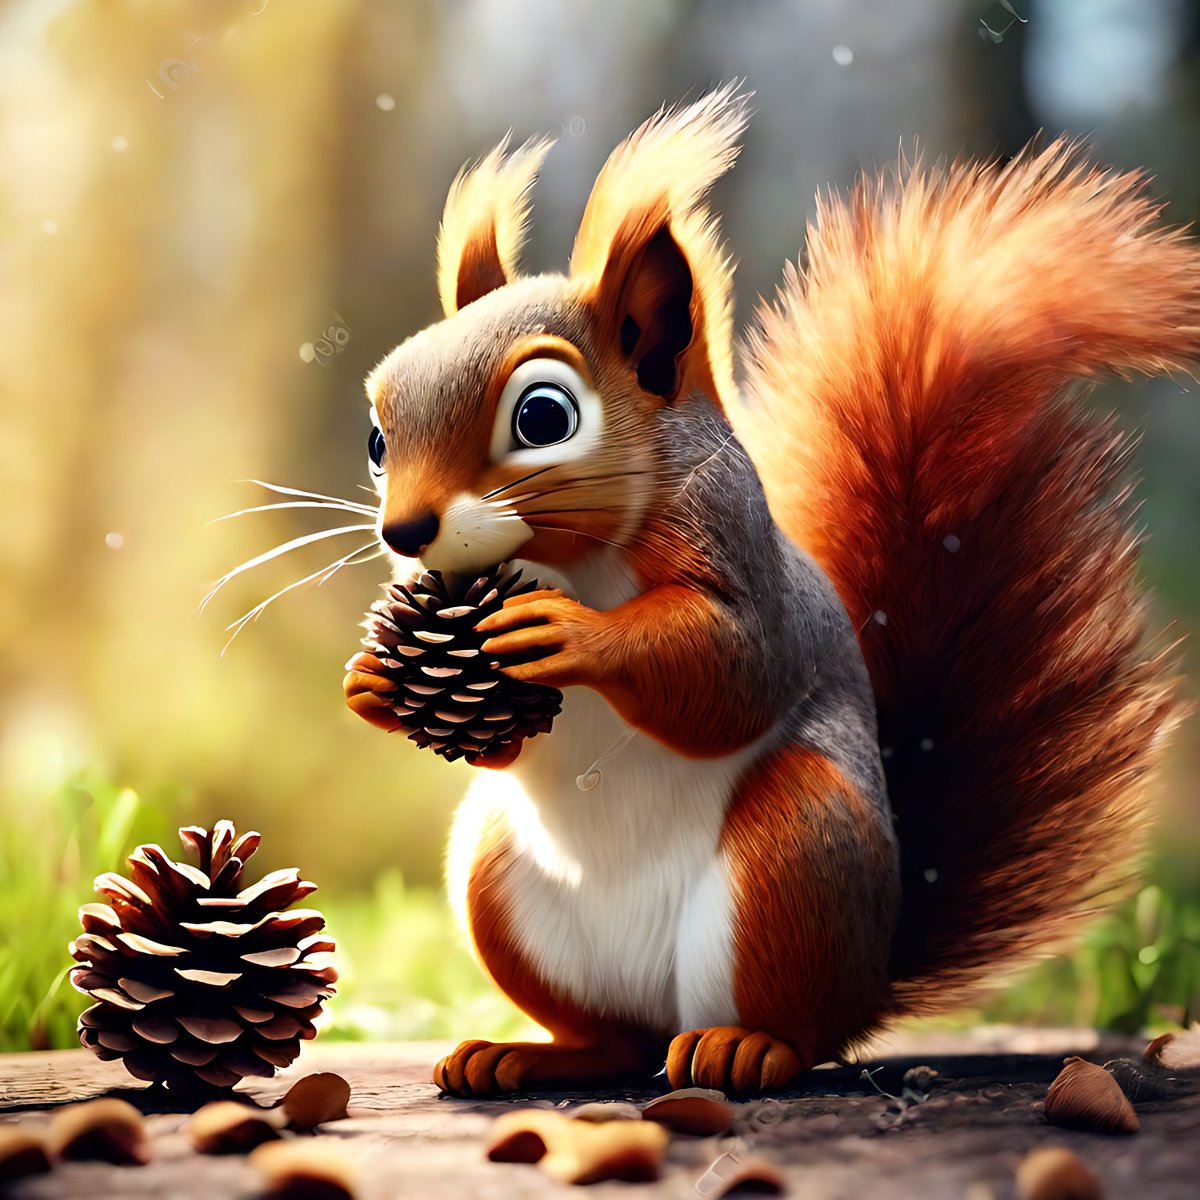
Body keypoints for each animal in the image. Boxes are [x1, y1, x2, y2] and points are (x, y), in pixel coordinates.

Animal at [343, 86, 1197, 1096]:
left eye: (543, 416)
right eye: (378, 436)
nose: (405, 534)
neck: (562, 557)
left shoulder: (737, 551)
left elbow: (730, 672)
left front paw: (569, 633)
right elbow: (502, 746)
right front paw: (372, 683)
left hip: (798, 855)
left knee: (795, 1029)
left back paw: (746, 1048)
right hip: (494, 876)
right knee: (615, 1040)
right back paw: (525, 1053)